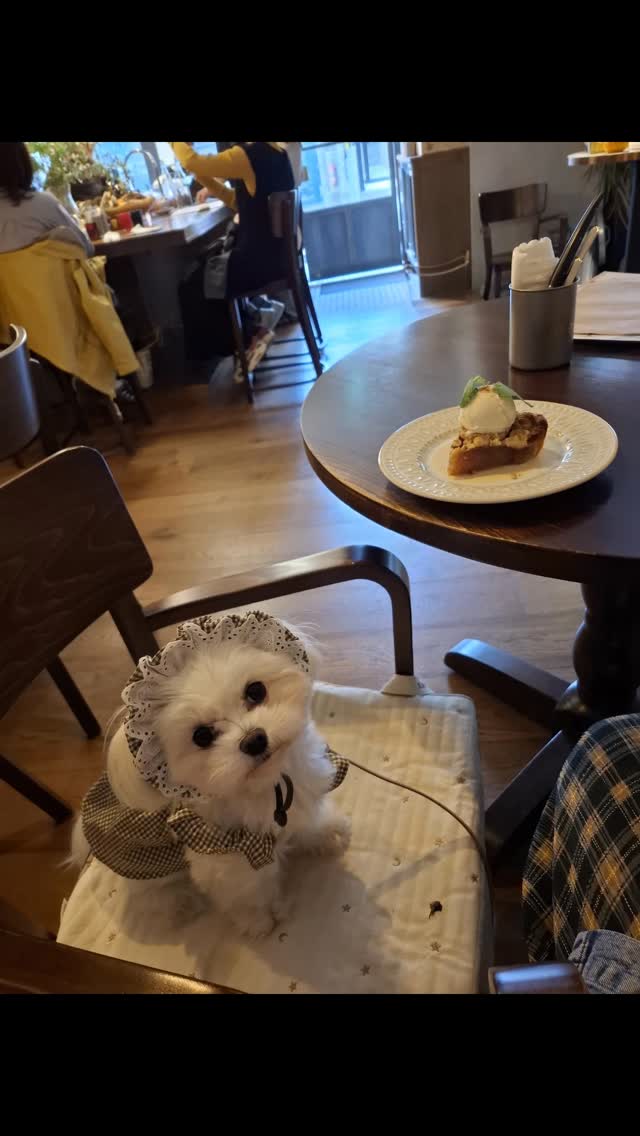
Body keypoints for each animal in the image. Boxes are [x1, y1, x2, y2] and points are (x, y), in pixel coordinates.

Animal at [72, 613, 350, 939]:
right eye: (202, 736)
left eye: (256, 691)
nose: (254, 740)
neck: (263, 787)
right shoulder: (230, 859)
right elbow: (250, 893)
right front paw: (262, 918)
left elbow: (307, 822)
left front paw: (327, 833)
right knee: (155, 895)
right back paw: (181, 903)